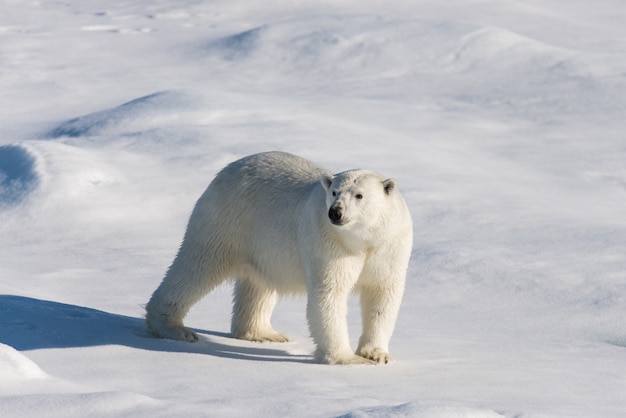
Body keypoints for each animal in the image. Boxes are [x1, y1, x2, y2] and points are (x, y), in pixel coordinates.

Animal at [144, 152, 412, 364]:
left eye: (359, 195)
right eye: (334, 191)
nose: (335, 212)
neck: (362, 240)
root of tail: (228, 169)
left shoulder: (390, 246)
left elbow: (382, 294)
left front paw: (376, 354)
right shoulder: (329, 243)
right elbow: (330, 293)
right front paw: (347, 358)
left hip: (261, 245)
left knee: (258, 285)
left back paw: (263, 333)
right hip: (227, 220)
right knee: (196, 266)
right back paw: (174, 328)